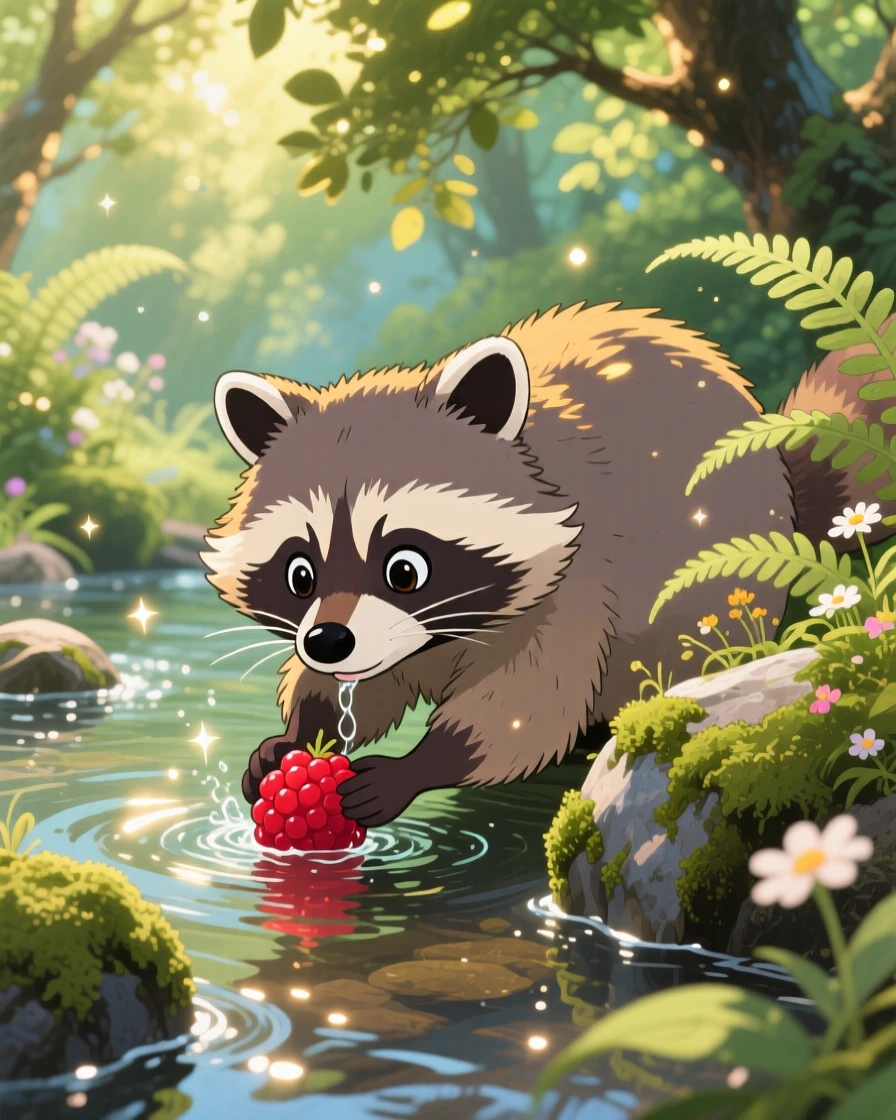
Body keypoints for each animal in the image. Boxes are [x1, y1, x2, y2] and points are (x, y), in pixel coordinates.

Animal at [203, 302, 889, 827]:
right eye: (300, 575)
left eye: (405, 570)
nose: (328, 641)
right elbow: (364, 687)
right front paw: (301, 732)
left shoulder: (581, 580)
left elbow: (525, 703)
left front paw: (419, 765)